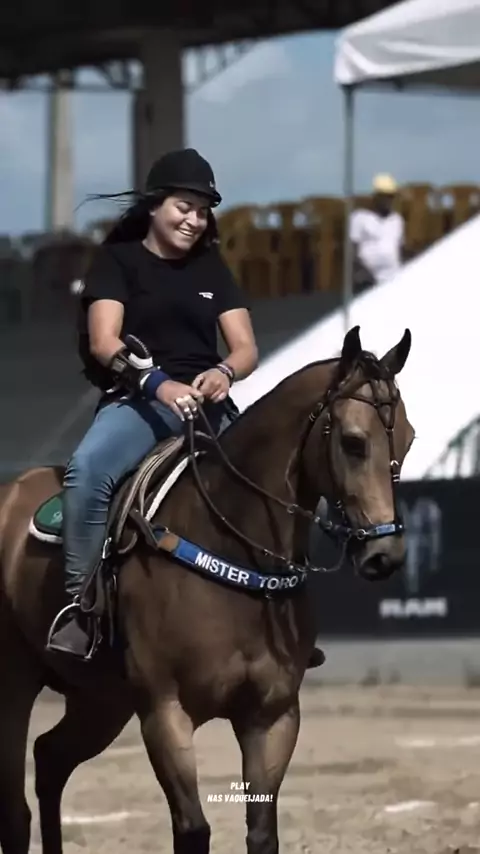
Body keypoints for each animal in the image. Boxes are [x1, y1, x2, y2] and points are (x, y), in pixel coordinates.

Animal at [0, 325, 414, 854]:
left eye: (409, 438)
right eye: (354, 442)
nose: (387, 554)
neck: (233, 548)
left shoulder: (272, 716)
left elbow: (262, 832)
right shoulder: (164, 712)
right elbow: (193, 829)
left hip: (101, 700)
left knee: (51, 758)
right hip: (14, 684)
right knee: (16, 810)